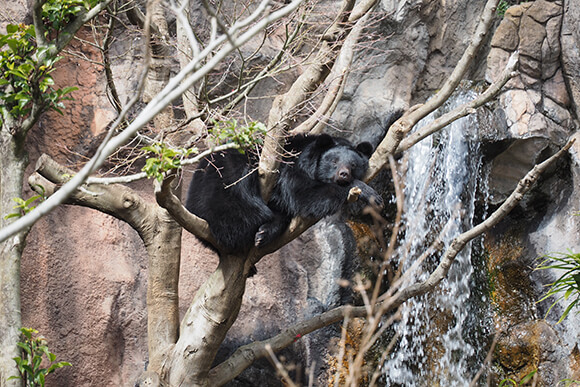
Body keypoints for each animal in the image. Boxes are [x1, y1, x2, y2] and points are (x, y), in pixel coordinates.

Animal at [186, 134, 382, 255]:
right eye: (334, 161)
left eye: (353, 165)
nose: (344, 174)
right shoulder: (288, 169)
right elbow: (304, 194)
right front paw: (370, 192)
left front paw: (263, 234)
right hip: (227, 184)